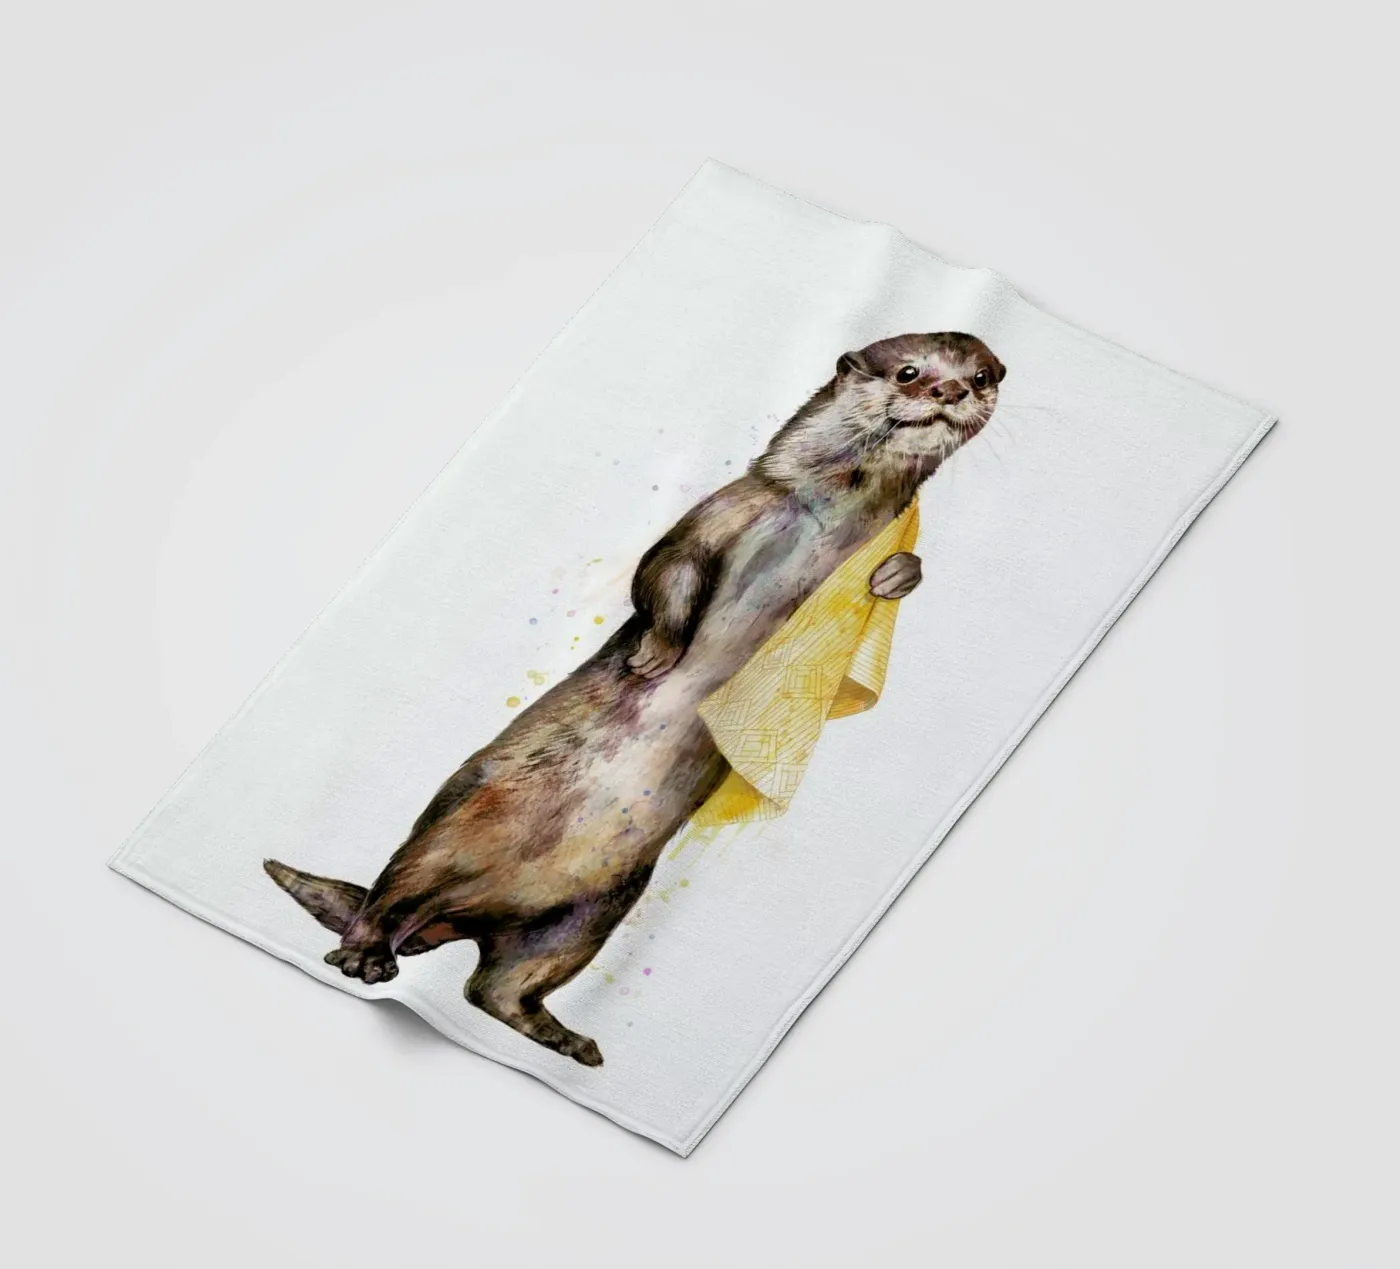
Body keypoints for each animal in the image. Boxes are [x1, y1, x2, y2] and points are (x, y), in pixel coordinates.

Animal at [265, 332, 1006, 1067]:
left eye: (981, 376)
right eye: (909, 371)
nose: (948, 391)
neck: (821, 519)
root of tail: (455, 915)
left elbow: (895, 579)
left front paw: (897, 575)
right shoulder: (722, 512)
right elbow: (663, 569)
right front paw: (658, 652)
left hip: (589, 916)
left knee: (493, 988)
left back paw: (567, 1039)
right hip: (452, 827)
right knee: (389, 895)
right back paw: (365, 955)